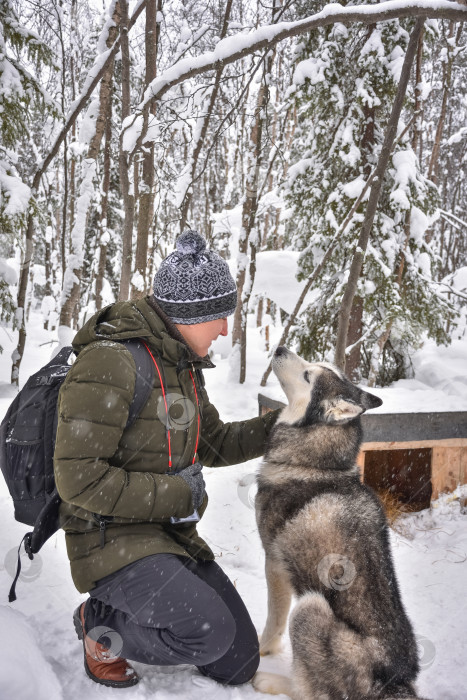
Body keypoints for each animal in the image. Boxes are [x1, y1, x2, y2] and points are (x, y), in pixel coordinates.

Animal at [252, 346, 428, 700]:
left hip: (309, 607)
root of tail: (392, 682)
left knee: (310, 692)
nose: (280, 348)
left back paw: (270, 681)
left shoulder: (274, 561)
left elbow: (273, 620)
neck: (315, 464)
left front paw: (262, 650)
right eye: (313, 364)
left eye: (308, 375)